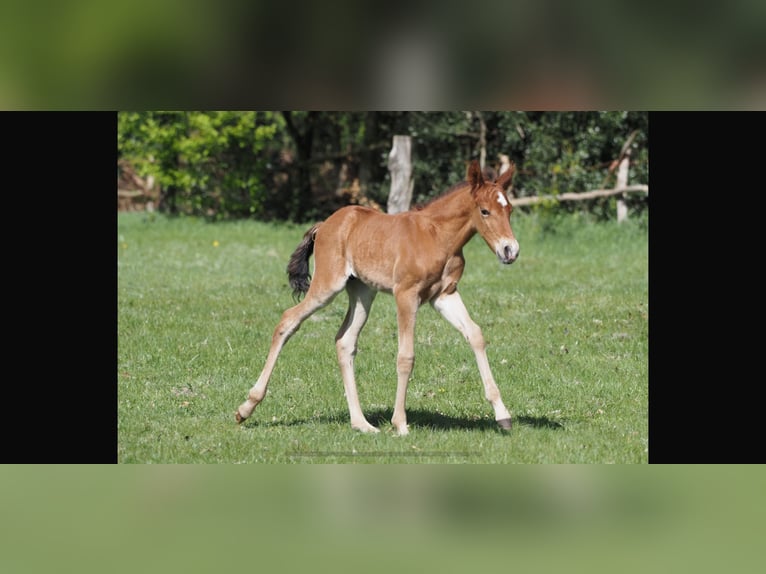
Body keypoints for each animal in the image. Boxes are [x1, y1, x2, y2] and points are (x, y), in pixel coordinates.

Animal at [235, 159, 520, 435]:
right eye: (485, 211)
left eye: (509, 210)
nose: (510, 250)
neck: (437, 236)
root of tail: (324, 225)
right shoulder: (406, 294)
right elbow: (406, 357)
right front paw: (400, 424)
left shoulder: (444, 295)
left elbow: (475, 335)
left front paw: (503, 415)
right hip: (327, 285)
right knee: (288, 320)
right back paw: (246, 408)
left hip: (363, 292)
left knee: (345, 341)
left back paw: (361, 423)